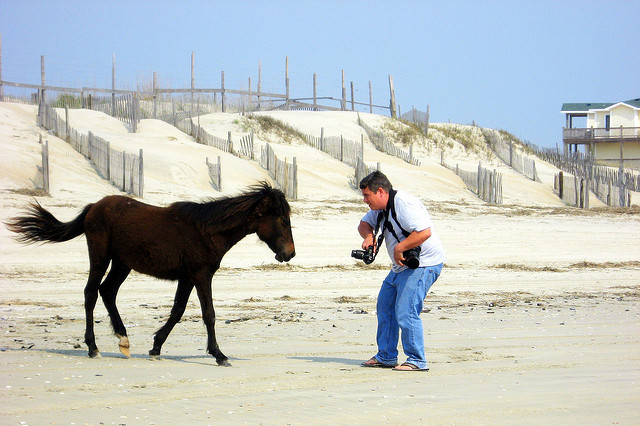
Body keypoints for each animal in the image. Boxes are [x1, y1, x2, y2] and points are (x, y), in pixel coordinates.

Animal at [6, 182, 295, 366]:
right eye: (282, 220)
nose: (290, 253)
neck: (206, 231)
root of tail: (93, 206)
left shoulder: (187, 278)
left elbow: (177, 312)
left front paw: (156, 347)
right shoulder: (201, 275)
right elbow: (209, 314)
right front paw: (219, 355)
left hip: (122, 263)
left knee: (107, 291)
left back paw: (123, 340)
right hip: (100, 257)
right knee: (90, 294)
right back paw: (93, 348)